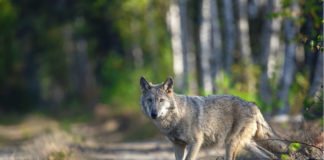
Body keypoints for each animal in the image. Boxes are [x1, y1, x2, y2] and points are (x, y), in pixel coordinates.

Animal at [139, 77, 286, 159]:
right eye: (150, 100)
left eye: (161, 100)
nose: (154, 114)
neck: (176, 119)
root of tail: (252, 104)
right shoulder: (178, 145)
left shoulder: (195, 143)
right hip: (246, 144)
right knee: (271, 156)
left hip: (230, 144)